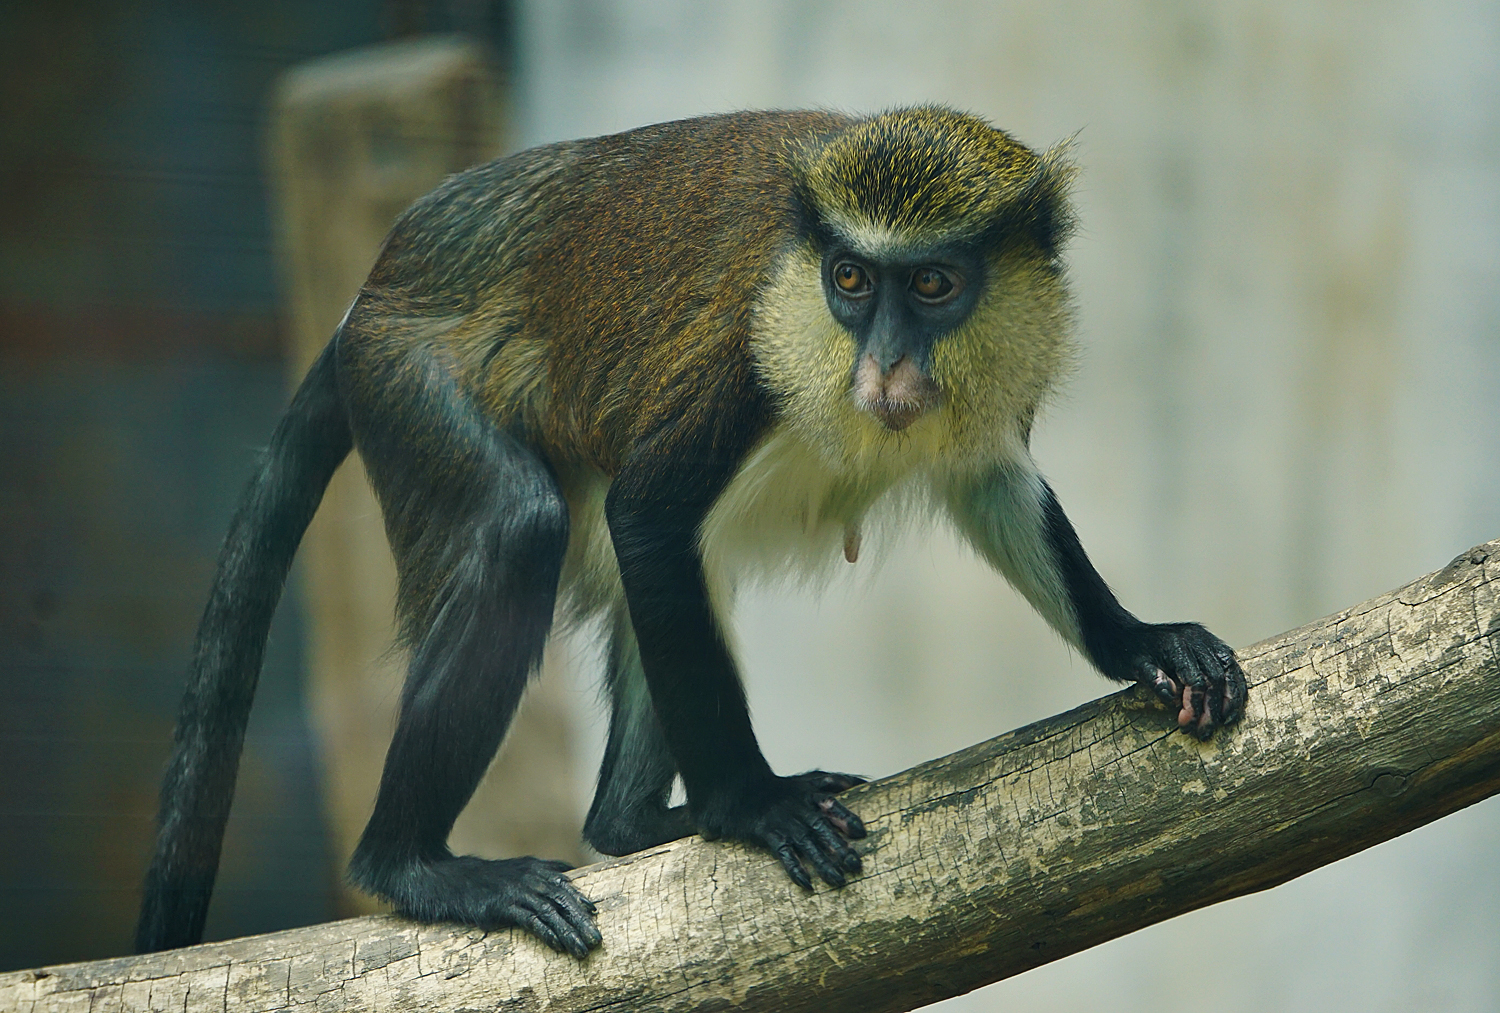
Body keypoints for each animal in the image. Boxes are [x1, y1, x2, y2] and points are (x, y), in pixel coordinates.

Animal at [135, 107, 1246, 959]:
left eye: (931, 284)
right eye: (851, 281)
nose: (883, 368)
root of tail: (369, 296)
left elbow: (997, 488)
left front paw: (1143, 643)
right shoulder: (735, 363)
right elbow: (649, 515)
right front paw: (750, 807)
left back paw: (630, 823)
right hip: (408, 385)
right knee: (522, 530)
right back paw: (417, 866)